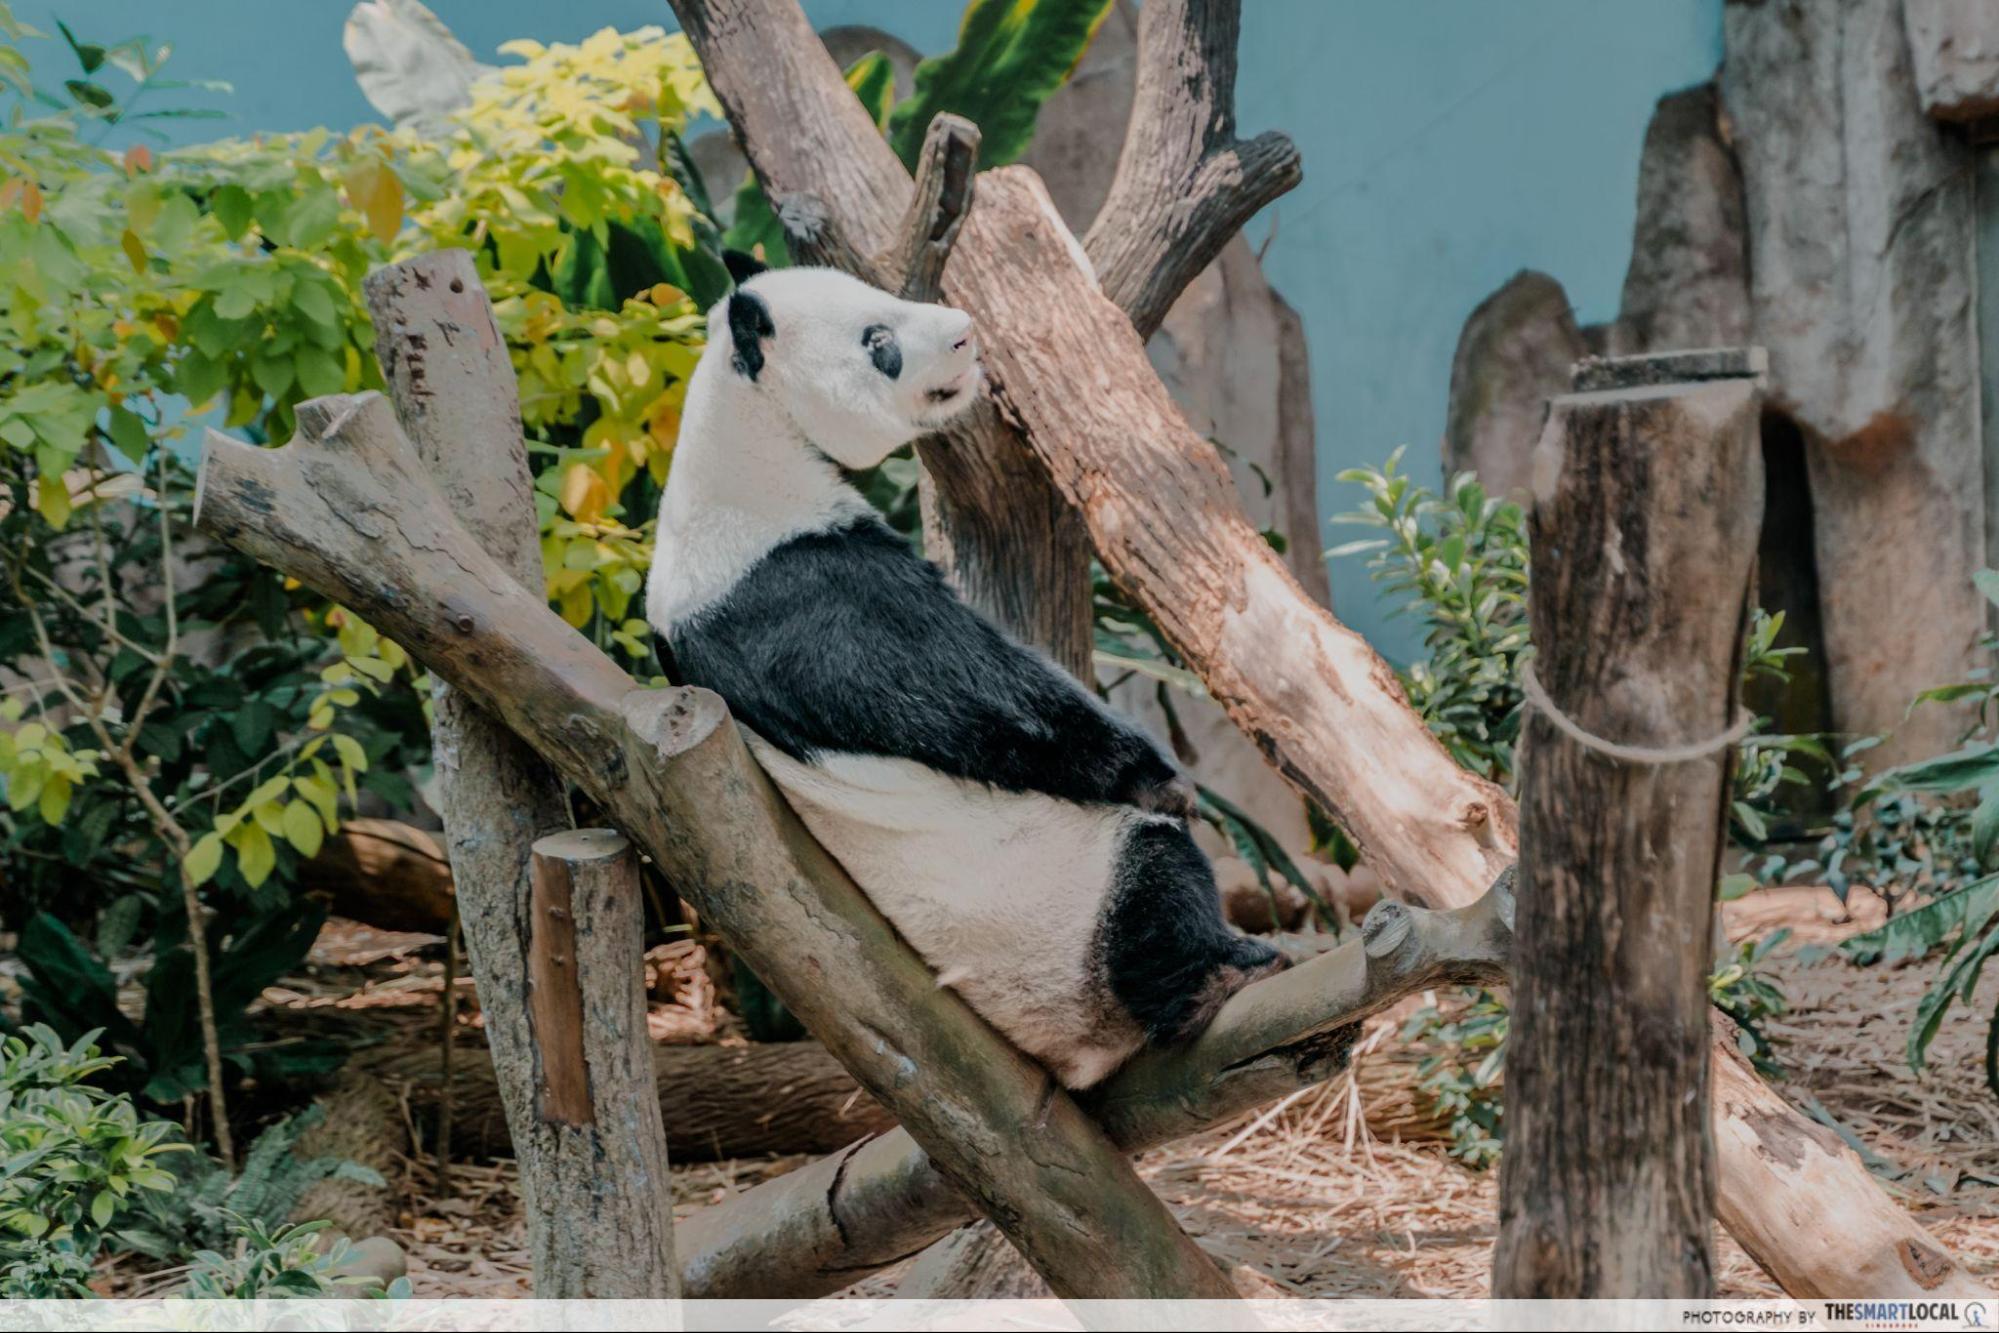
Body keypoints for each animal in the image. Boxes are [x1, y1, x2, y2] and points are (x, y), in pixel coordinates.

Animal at [644, 259, 1284, 1089]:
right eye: (876, 339)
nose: (964, 332)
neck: (749, 438)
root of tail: (1073, 1058)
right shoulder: (799, 581)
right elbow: (979, 699)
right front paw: (1164, 779)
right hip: (1046, 915)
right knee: (1150, 878)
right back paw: (1218, 970)